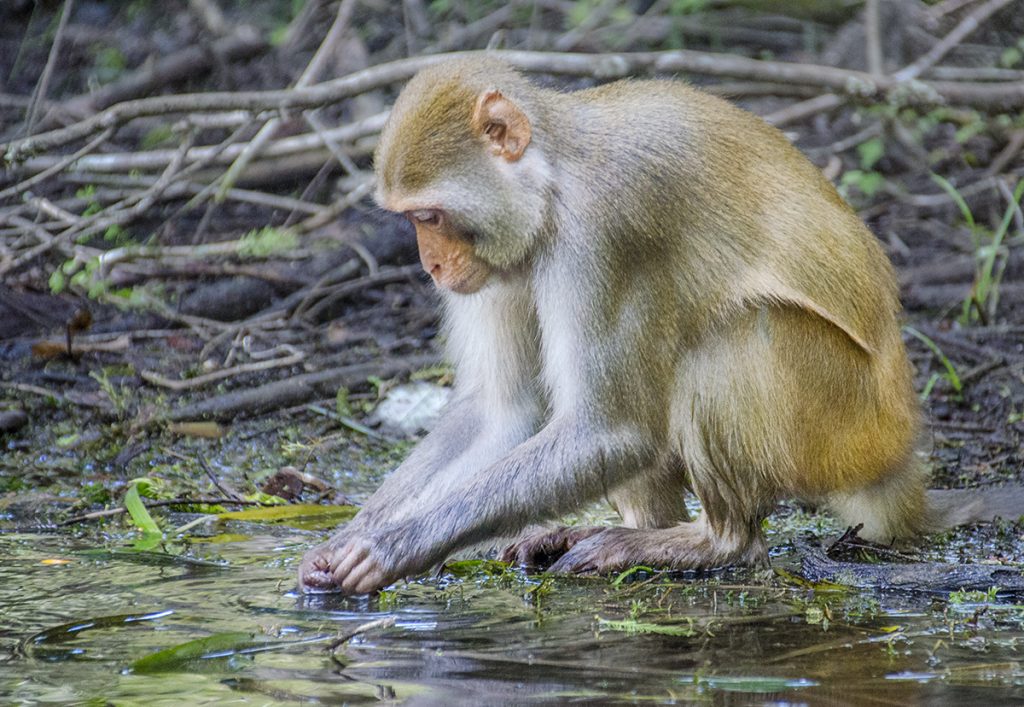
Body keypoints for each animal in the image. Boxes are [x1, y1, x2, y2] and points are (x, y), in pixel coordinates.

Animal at [296, 56, 1015, 594]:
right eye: (412, 221)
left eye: (431, 216)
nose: (433, 266)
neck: (552, 185)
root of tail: (898, 458)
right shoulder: (504, 259)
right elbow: (504, 411)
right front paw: (351, 535)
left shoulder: (604, 229)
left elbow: (614, 428)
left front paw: (394, 546)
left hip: (845, 430)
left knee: (729, 337)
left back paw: (716, 542)